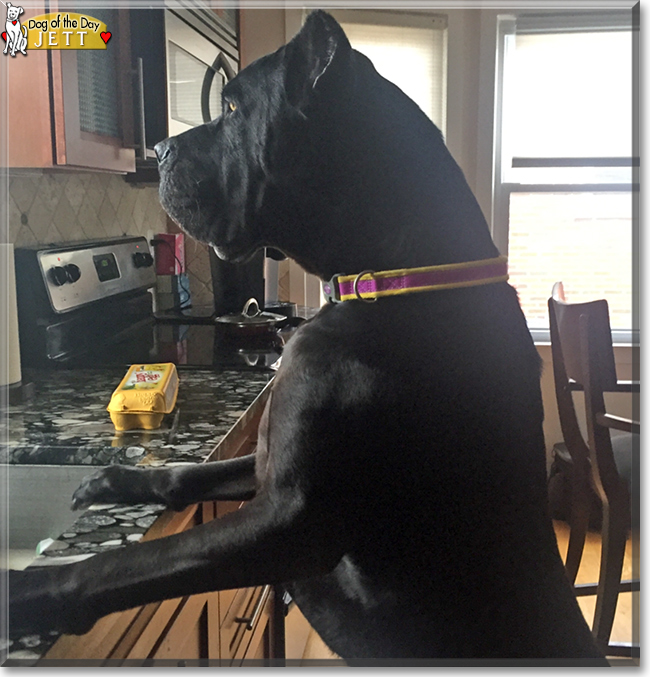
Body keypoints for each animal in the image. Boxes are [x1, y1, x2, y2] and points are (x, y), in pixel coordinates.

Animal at [8, 10, 604, 664]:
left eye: (234, 108)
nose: (160, 147)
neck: (393, 283)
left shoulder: (291, 522)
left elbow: (133, 561)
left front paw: (28, 589)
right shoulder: (268, 465)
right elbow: (188, 474)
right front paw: (121, 477)